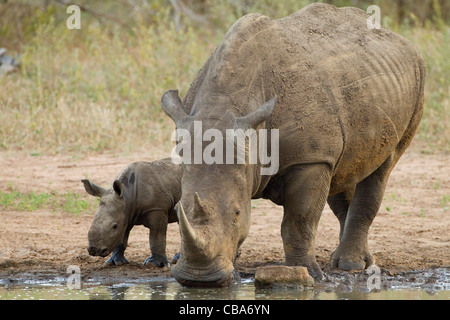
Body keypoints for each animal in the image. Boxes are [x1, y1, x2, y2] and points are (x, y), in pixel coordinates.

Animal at [161, 2, 426, 288]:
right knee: (345, 171)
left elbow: (299, 220)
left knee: (382, 168)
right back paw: (352, 260)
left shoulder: (310, 158)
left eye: (237, 214)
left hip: (418, 80)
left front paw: (307, 273)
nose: (200, 280)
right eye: (176, 211)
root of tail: (401, 40)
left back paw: (350, 265)